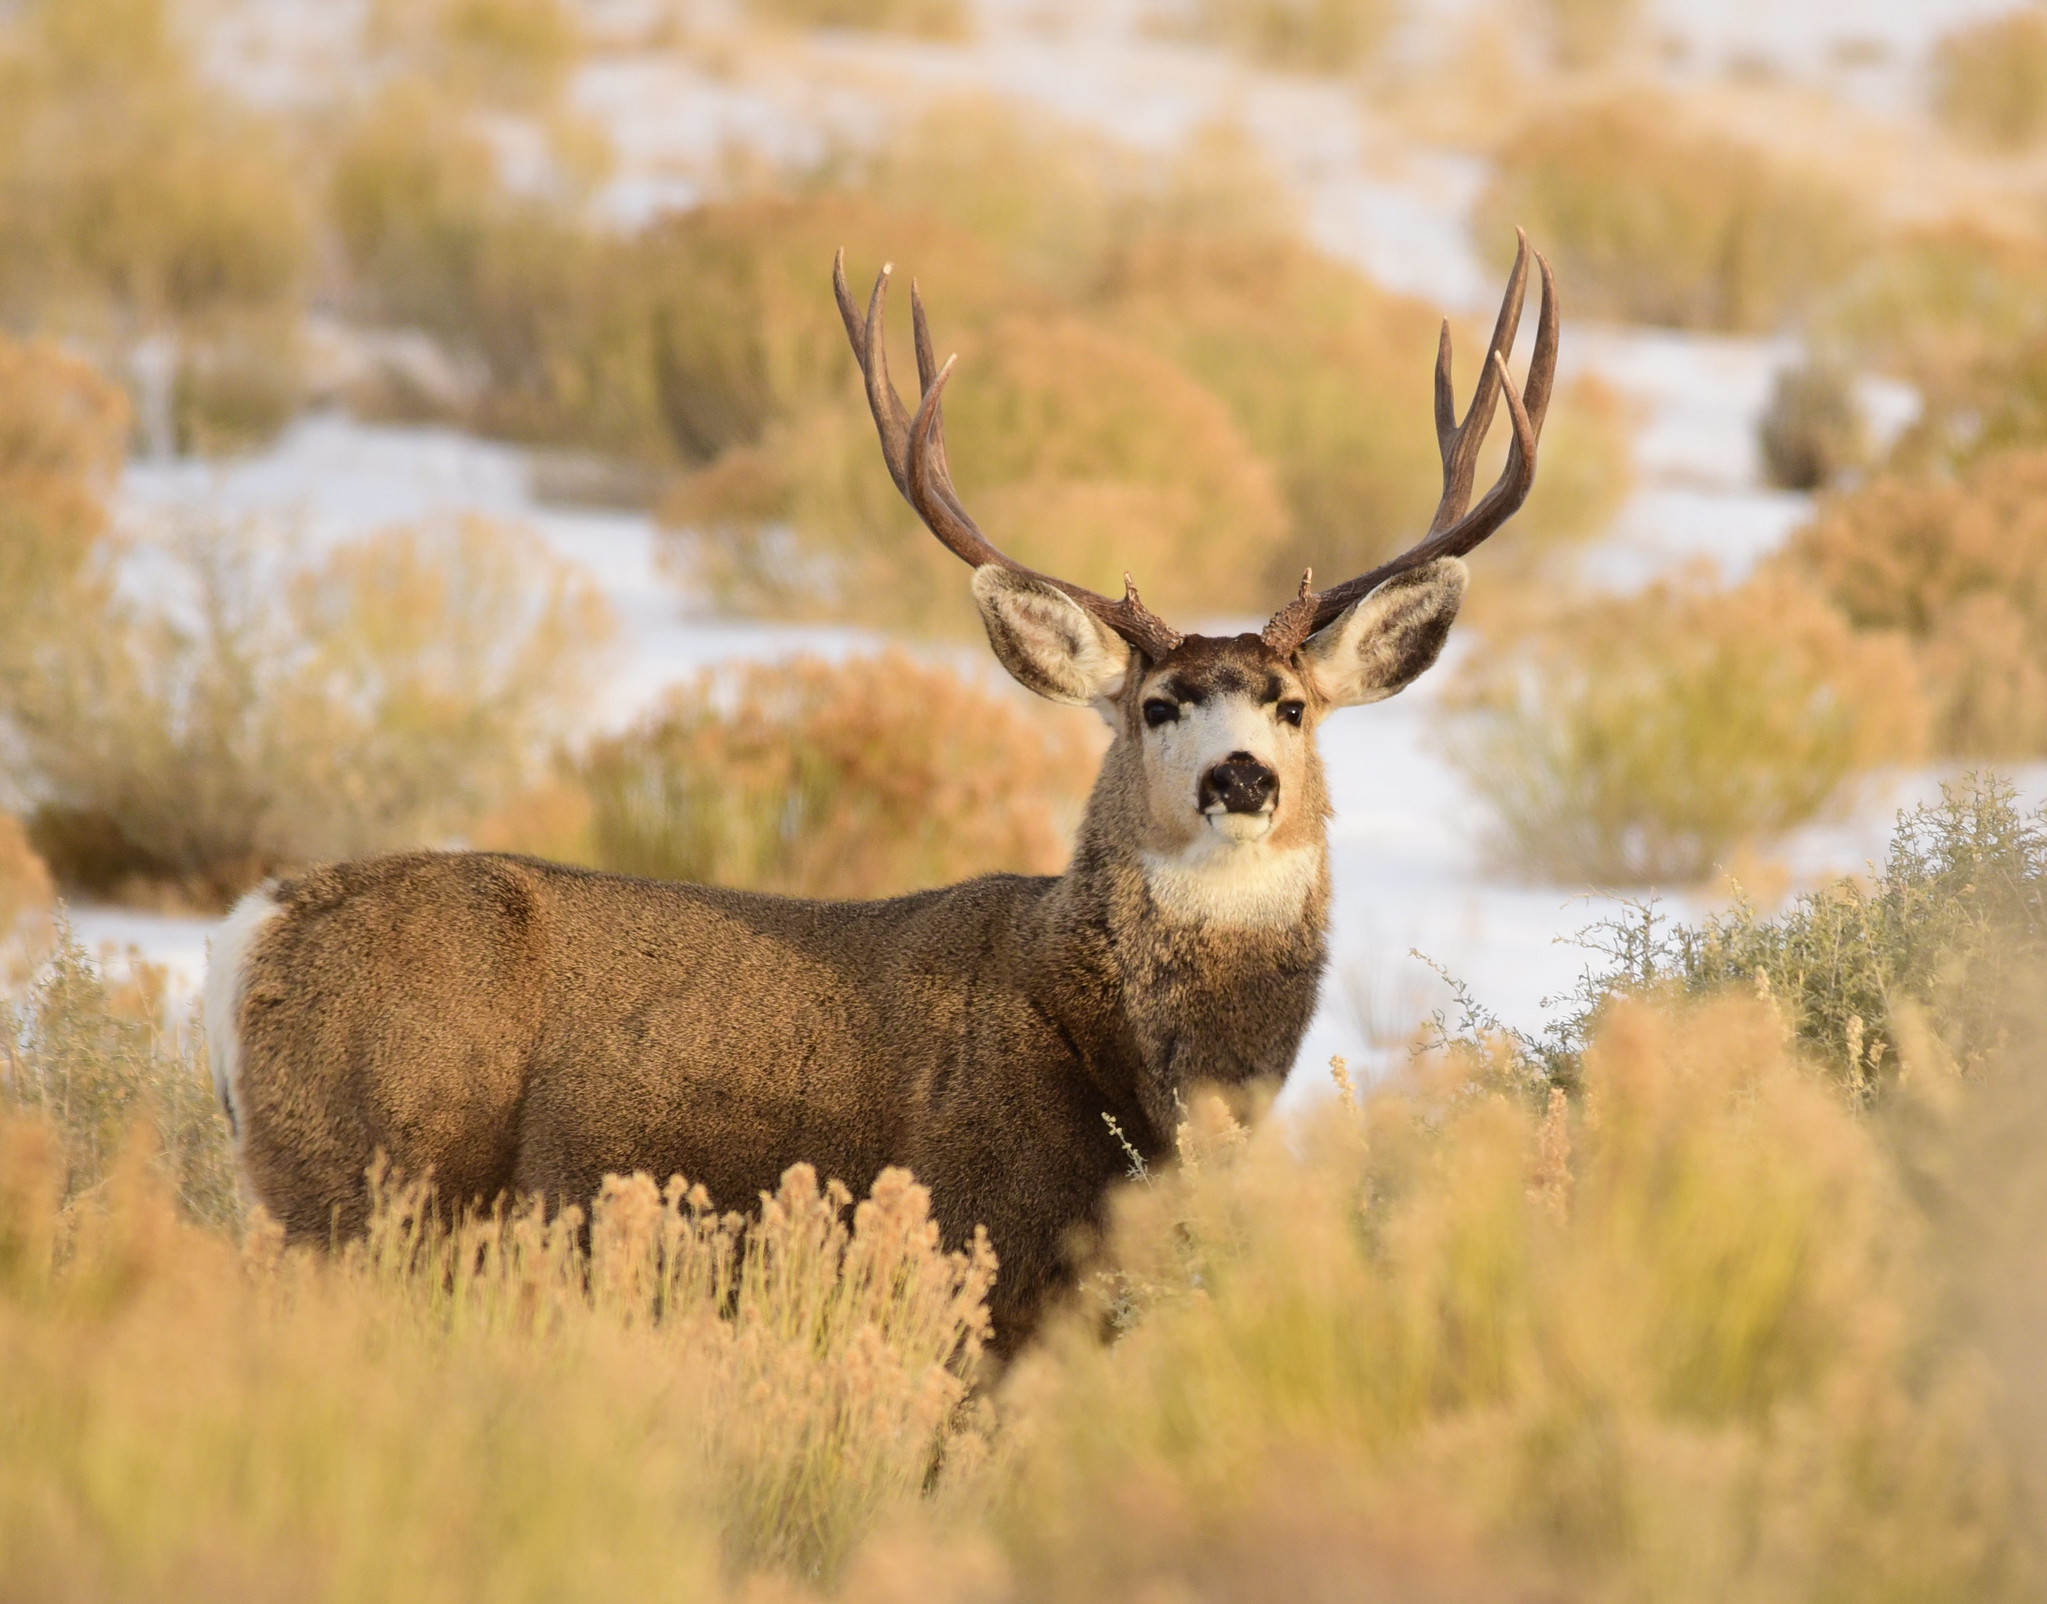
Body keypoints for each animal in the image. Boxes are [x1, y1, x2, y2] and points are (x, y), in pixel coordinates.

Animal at [203, 232, 1547, 1350]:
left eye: (1293, 705)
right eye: (1156, 705)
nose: (1241, 775)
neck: (1143, 1078)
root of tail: (251, 931)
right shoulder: (978, 1239)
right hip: (360, 1185)